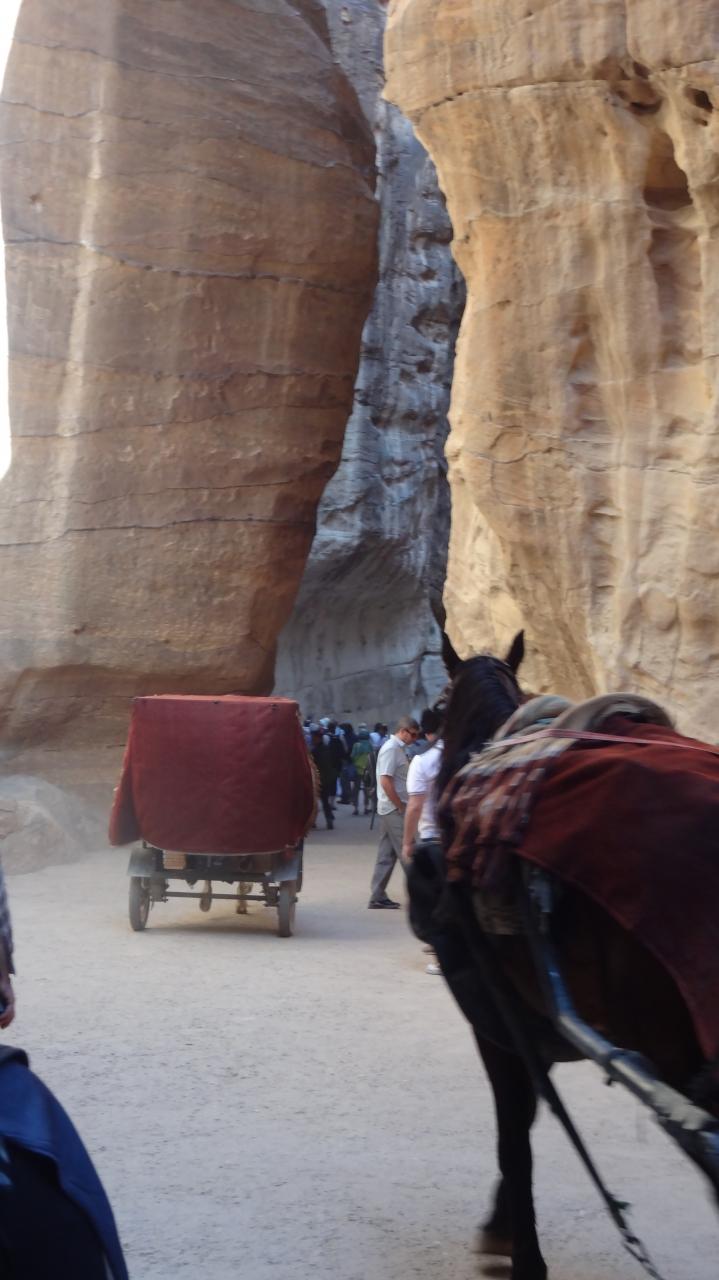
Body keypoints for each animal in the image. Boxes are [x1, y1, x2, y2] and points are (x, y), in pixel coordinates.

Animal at [408, 633, 719, 1280]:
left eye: (441, 699)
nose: (421, 722)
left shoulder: (496, 1023)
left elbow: (515, 1137)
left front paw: (521, 1252)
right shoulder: (538, 1022)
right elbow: (533, 1116)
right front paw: (501, 1226)